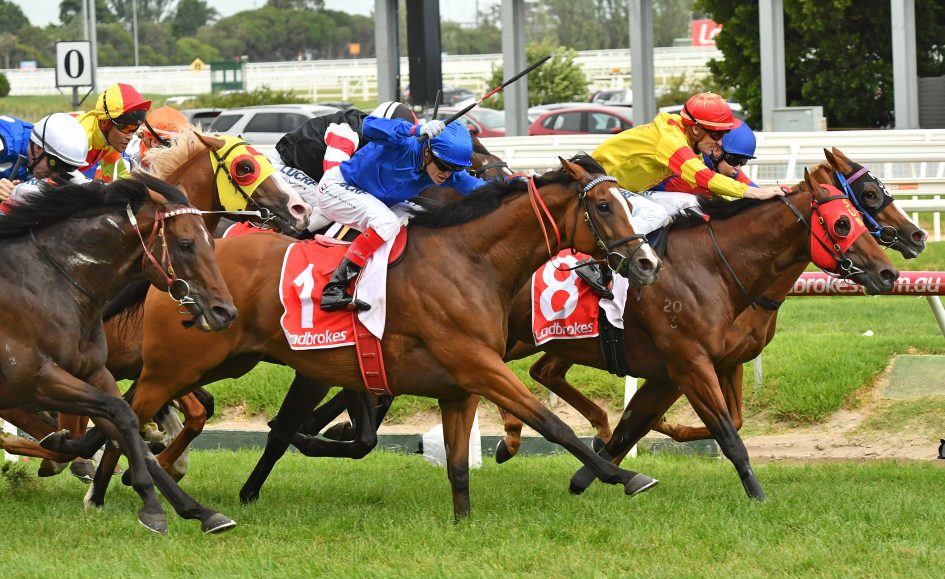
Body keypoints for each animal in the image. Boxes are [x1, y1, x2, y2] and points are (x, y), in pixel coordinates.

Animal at [0, 174, 237, 534]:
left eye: (212, 242)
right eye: (185, 244)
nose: (225, 311)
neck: (53, 283)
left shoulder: (96, 372)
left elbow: (125, 427)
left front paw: (198, 510)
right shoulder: (37, 380)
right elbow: (122, 416)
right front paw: (151, 503)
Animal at [67, 155, 663, 520]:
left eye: (627, 202)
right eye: (604, 206)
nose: (647, 262)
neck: (470, 261)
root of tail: (172, 266)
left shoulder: (459, 384)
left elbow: (456, 463)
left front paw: (463, 522)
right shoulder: (478, 364)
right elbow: (552, 424)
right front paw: (626, 476)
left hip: (221, 361)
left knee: (130, 410)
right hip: (179, 364)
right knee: (130, 413)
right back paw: (108, 489)